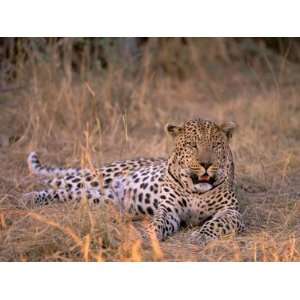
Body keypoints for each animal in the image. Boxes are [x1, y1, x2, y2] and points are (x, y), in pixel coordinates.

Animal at [23, 117, 244, 244]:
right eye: (192, 145)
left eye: (215, 145)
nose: (206, 164)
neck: (197, 191)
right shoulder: (169, 209)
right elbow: (159, 221)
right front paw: (150, 233)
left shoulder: (232, 212)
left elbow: (216, 224)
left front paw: (200, 236)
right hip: (95, 177)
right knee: (59, 181)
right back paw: (28, 196)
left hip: (100, 197)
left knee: (67, 193)